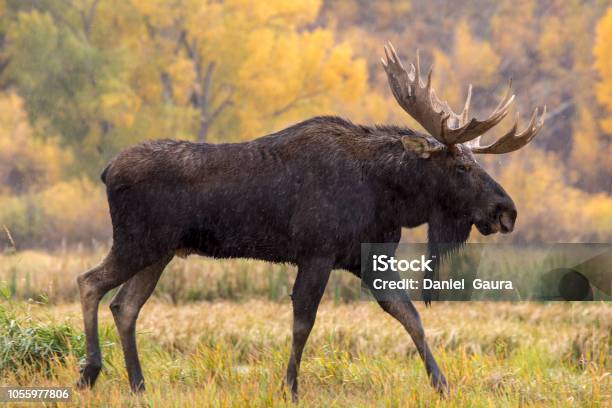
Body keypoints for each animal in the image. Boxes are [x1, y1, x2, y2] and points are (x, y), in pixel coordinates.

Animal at [75, 43, 544, 400]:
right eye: (461, 168)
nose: (507, 211)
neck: (389, 195)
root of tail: (106, 170)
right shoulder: (316, 254)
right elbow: (303, 322)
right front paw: (290, 388)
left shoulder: (368, 259)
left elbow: (410, 316)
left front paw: (442, 385)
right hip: (137, 242)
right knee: (90, 282)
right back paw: (90, 372)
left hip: (161, 252)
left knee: (125, 305)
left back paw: (138, 384)